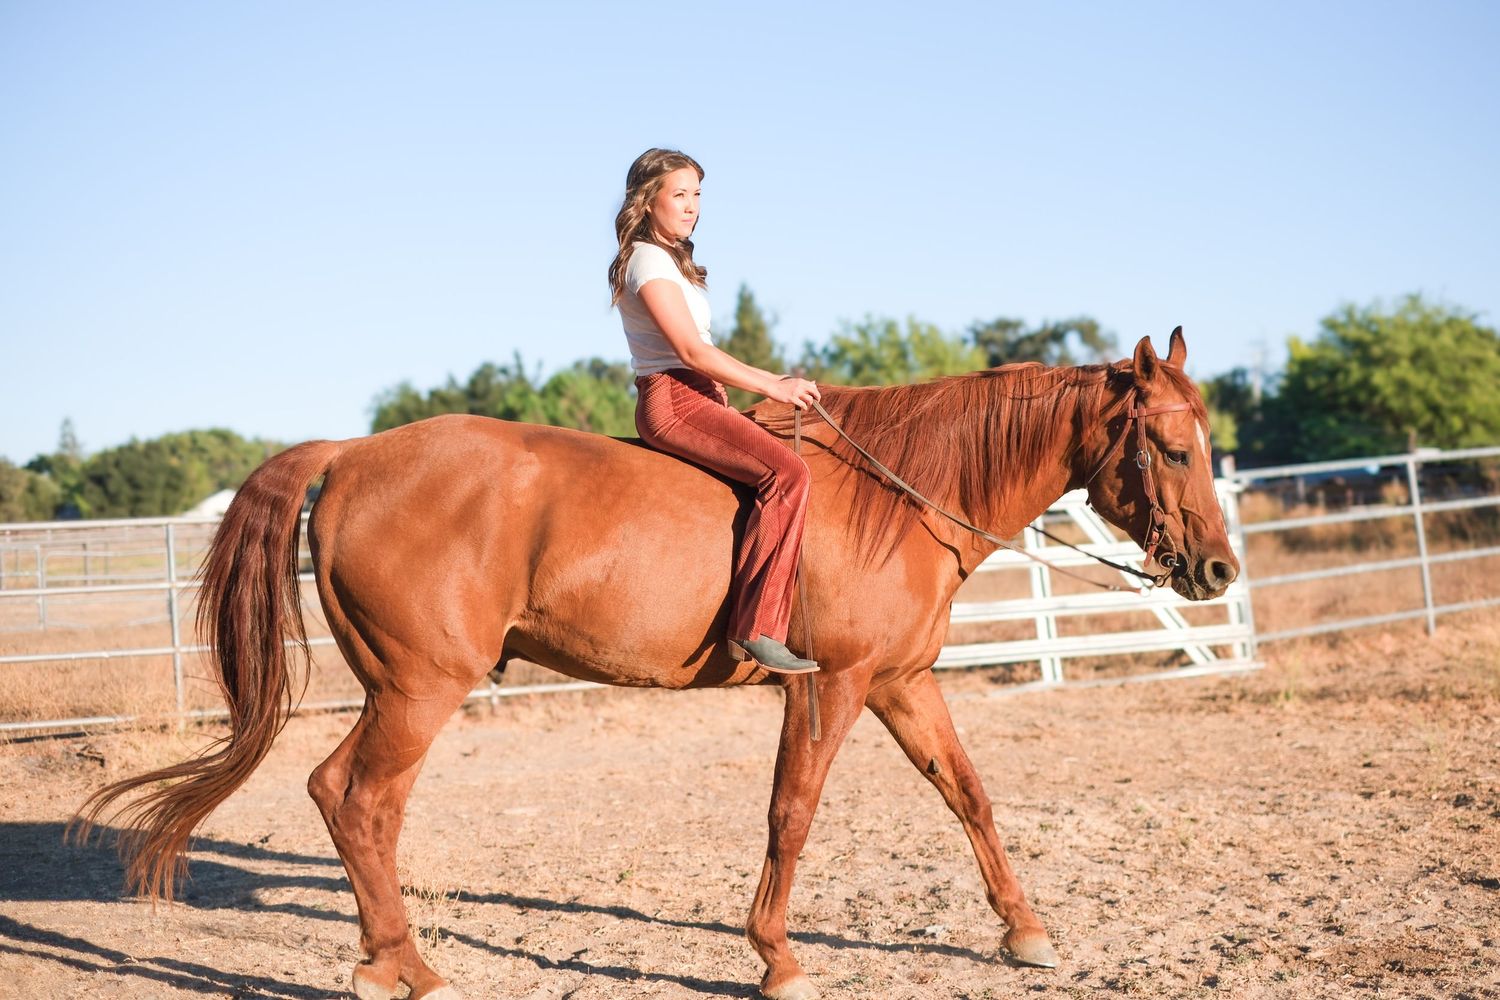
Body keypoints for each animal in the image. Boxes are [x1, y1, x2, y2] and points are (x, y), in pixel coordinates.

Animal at [78, 329, 1238, 1000]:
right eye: (1173, 447)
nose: (1219, 568)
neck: (898, 497)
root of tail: (351, 454)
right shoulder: (828, 686)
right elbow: (792, 814)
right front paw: (778, 960)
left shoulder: (901, 684)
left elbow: (971, 796)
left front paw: (1027, 933)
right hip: (418, 689)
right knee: (358, 799)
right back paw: (413, 969)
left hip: (395, 688)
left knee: (344, 796)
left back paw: (385, 962)